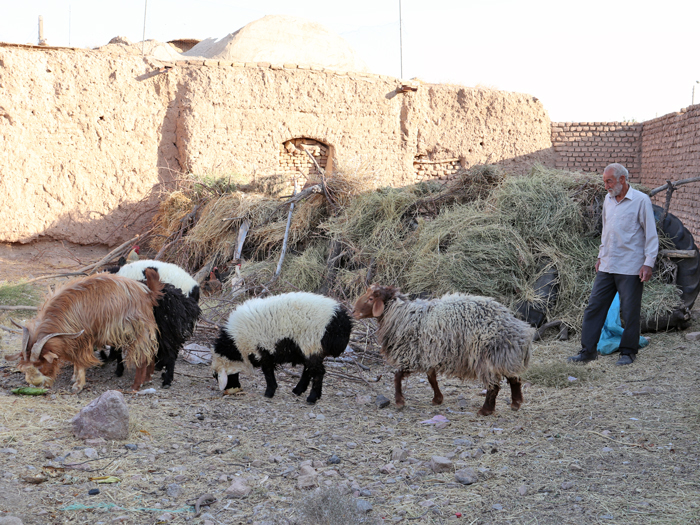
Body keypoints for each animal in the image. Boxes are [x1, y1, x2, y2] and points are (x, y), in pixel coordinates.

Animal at [7, 268, 163, 390]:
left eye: (40, 366)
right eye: (24, 368)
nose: (36, 384)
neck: (63, 312)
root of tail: (146, 293)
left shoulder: (83, 338)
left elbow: (80, 361)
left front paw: (78, 385)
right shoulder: (72, 340)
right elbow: (75, 361)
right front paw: (74, 377)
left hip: (135, 330)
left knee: (142, 356)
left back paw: (136, 386)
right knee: (151, 352)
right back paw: (148, 378)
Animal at [211, 292, 352, 404]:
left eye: (217, 376)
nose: (232, 389)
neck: (235, 345)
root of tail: (340, 319)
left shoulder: (261, 350)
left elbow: (267, 371)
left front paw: (269, 392)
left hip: (311, 344)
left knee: (318, 372)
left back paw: (312, 398)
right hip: (309, 349)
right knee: (308, 369)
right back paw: (299, 390)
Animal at [352, 284, 532, 416]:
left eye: (370, 298)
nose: (353, 312)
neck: (402, 315)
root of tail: (517, 327)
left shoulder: (411, 354)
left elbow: (397, 376)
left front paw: (399, 401)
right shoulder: (428, 353)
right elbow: (431, 378)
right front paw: (437, 399)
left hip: (486, 357)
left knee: (493, 385)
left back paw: (485, 410)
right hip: (503, 355)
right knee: (514, 378)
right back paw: (516, 403)